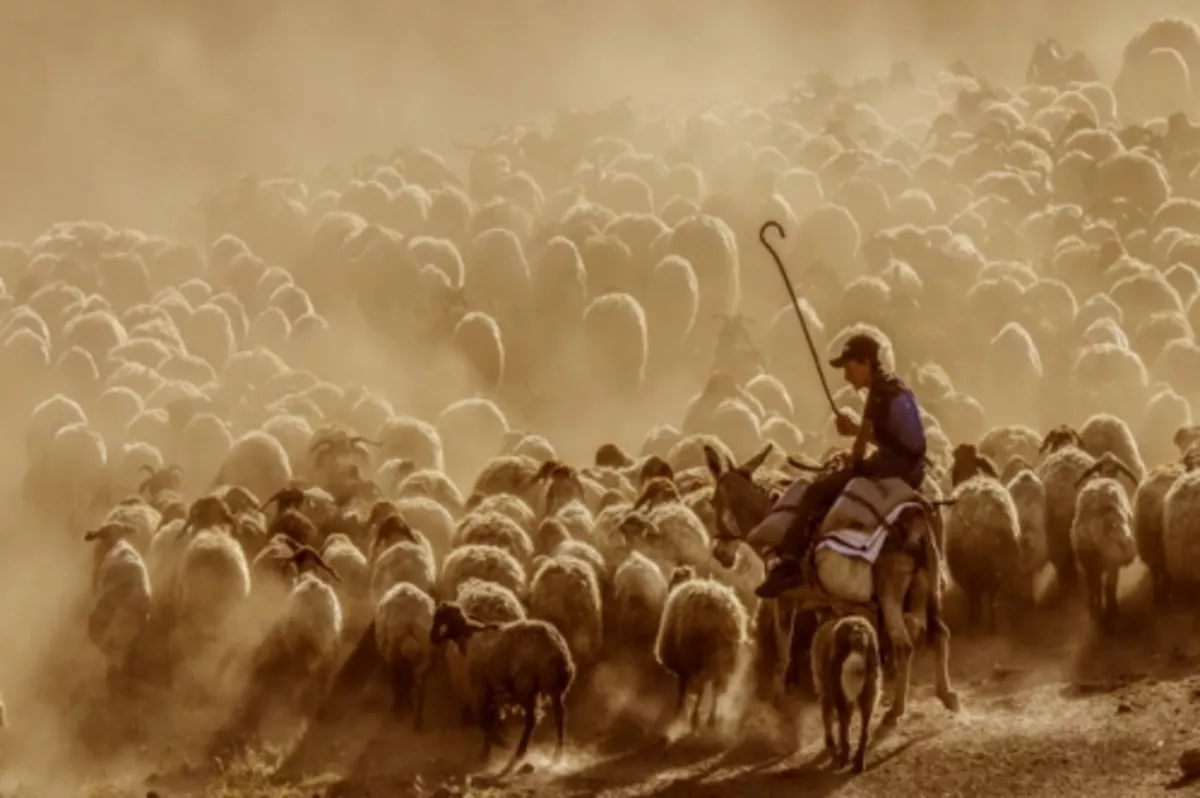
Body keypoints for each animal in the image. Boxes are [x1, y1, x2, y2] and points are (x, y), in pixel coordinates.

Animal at [432, 600, 576, 772]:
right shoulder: (494, 693)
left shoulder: (481, 690)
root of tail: (557, 647)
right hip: (554, 688)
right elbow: (492, 720)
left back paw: (520, 753)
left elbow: (484, 721)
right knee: (560, 714)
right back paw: (557, 754)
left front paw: (489, 749)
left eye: (439, 619)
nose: (433, 638)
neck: (469, 638)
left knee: (532, 719)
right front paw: (492, 746)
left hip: (525, 688)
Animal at [652, 564, 744, 729]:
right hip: (723, 661)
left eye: (673, 579)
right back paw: (711, 719)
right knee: (716, 690)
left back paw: (695, 718)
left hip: (699, 656)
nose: (669, 589)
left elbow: (683, 688)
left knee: (702, 688)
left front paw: (679, 709)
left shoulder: (684, 665)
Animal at [811, 609, 878, 772]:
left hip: (838, 693)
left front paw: (831, 747)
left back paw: (843, 757)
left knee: (842, 729)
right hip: (869, 694)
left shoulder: (824, 693)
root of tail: (857, 630)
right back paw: (859, 761)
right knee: (864, 731)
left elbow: (828, 721)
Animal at [1075, 451, 1137, 624]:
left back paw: (1095, 611)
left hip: (1088, 563)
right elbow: (1110, 585)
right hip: (1109, 560)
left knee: (1093, 588)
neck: (1106, 475)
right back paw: (1110, 610)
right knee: (1107, 586)